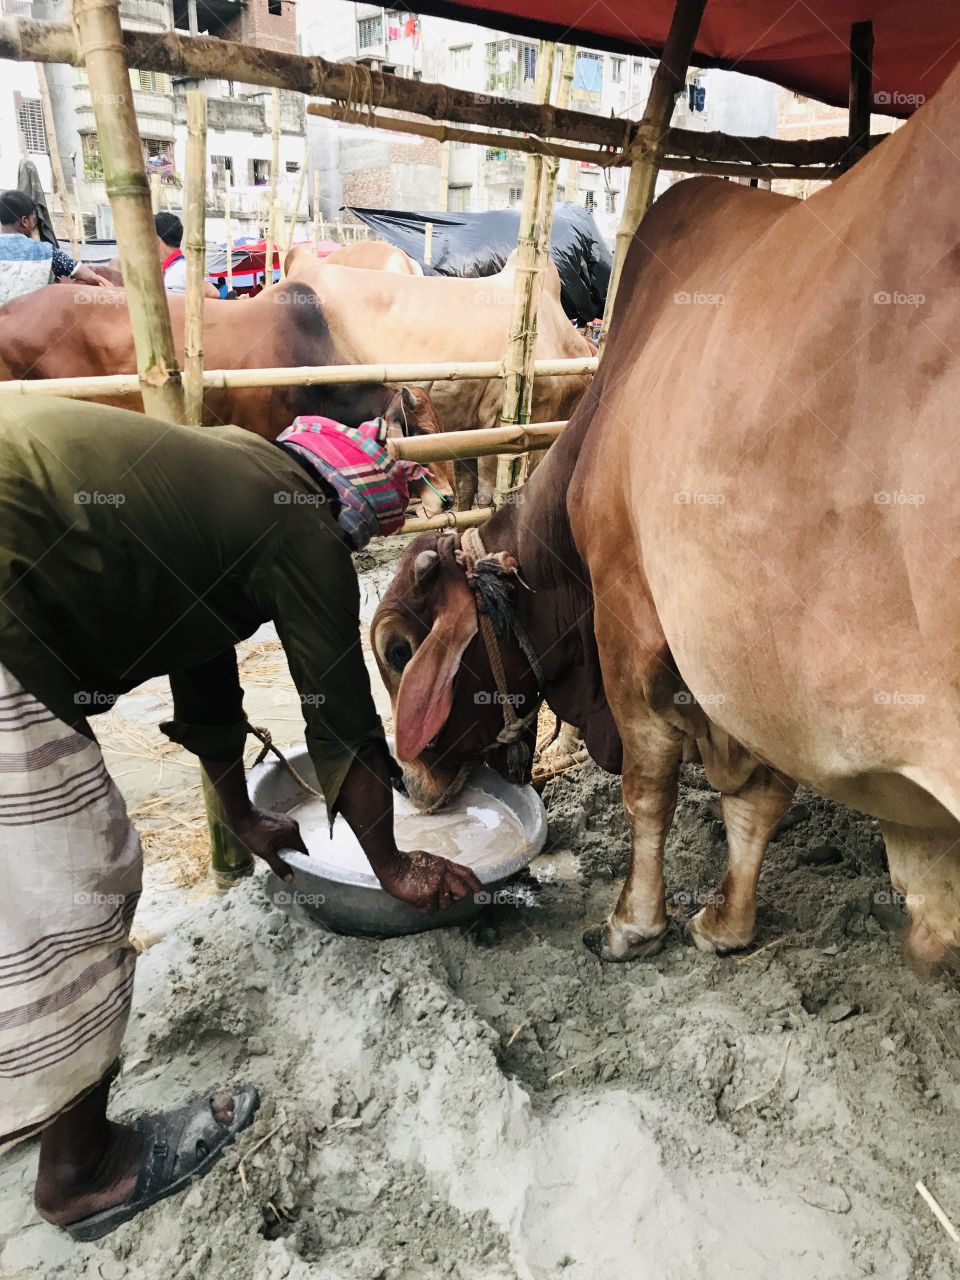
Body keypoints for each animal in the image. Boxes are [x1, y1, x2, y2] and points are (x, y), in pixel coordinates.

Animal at [371, 67, 960, 978]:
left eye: (400, 649)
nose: (412, 785)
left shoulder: (633, 626)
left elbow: (648, 788)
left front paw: (633, 923)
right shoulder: (745, 664)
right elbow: (759, 797)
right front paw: (727, 922)